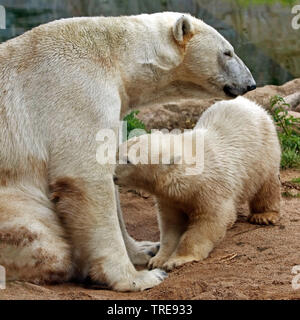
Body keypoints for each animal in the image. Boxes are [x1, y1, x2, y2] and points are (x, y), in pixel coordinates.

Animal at [0, 13, 255, 292]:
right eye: (227, 52)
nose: (250, 83)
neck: (113, 56)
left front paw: (145, 249)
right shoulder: (76, 91)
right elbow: (86, 178)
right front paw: (138, 277)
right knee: (46, 244)